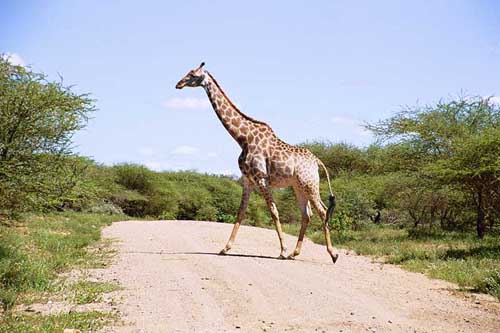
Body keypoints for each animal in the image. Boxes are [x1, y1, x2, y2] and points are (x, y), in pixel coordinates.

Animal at [176, 62, 340, 264]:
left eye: (193, 74)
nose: (178, 84)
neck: (243, 138)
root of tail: (317, 161)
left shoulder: (261, 178)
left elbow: (274, 212)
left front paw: (282, 250)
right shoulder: (247, 179)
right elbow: (241, 212)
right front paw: (225, 248)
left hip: (309, 184)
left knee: (322, 211)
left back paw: (332, 254)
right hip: (298, 186)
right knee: (306, 214)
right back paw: (295, 253)